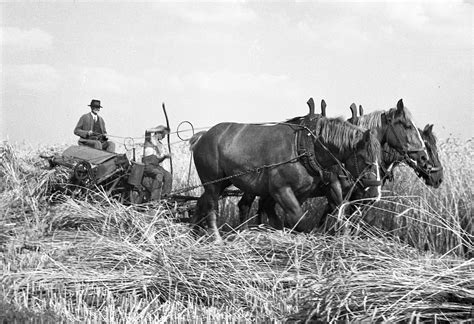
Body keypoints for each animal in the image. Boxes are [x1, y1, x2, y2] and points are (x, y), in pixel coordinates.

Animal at [189, 117, 382, 242]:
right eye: (367, 161)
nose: (375, 190)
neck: (306, 147)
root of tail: (202, 136)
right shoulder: (281, 190)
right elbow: (298, 219)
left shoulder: (306, 191)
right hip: (213, 183)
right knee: (211, 207)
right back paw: (216, 239)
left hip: (223, 182)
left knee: (201, 202)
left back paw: (192, 232)